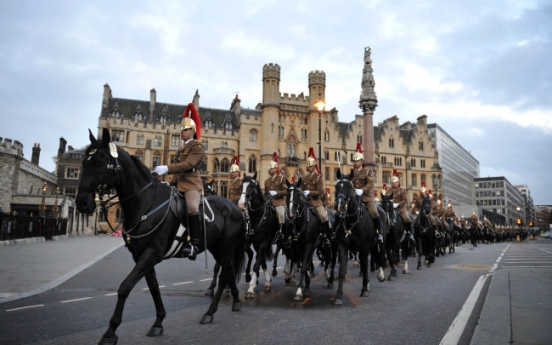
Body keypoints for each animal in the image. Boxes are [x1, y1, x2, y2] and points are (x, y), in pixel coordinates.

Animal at [76, 127, 246, 342]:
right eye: (84, 162)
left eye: (99, 163)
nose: (81, 203)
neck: (145, 202)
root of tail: (235, 208)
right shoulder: (141, 255)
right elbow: (153, 287)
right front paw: (158, 322)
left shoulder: (153, 253)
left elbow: (124, 287)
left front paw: (111, 331)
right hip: (217, 247)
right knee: (229, 270)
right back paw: (235, 301)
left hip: (226, 247)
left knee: (224, 274)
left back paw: (210, 312)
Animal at [328, 169, 384, 304]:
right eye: (337, 186)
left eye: (349, 186)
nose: (339, 206)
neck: (351, 221)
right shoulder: (342, 246)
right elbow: (342, 270)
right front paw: (338, 295)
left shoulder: (364, 247)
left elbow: (364, 266)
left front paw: (364, 290)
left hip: (379, 241)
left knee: (379, 255)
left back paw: (380, 275)